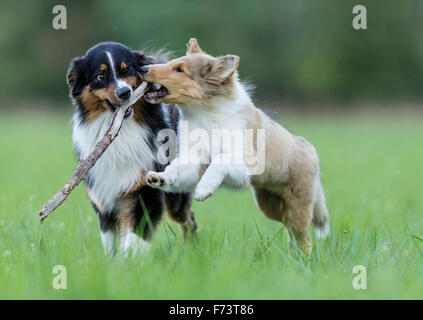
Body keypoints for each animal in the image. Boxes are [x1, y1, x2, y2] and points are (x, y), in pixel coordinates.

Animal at [67, 42, 198, 258]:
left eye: (126, 69)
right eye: (100, 76)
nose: (124, 93)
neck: (121, 132)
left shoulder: (145, 191)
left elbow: (134, 239)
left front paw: (130, 264)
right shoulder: (104, 200)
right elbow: (110, 244)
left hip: (176, 196)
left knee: (187, 218)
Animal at [141, 38, 330, 252]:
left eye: (180, 69)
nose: (142, 68)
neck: (205, 114)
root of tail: (310, 149)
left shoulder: (245, 165)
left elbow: (221, 159)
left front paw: (203, 190)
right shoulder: (196, 159)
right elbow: (178, 168)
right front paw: (159, 178)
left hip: (299, 204)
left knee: (304, 236)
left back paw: (304, 257)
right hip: (271, 205)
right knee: (290, 229)